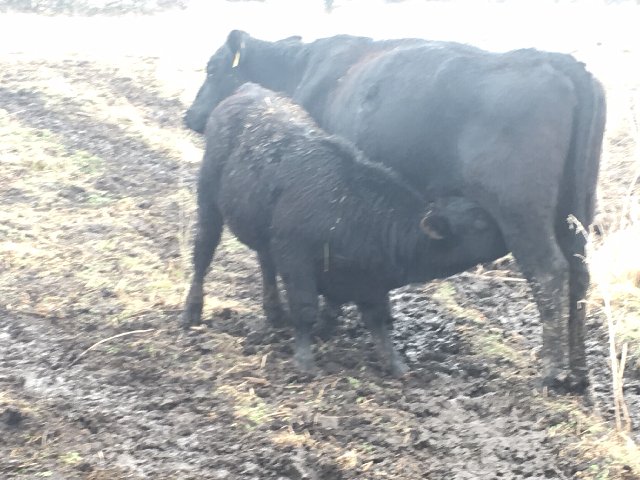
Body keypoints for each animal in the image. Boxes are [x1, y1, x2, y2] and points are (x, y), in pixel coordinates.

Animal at [183, 83, 507, 375]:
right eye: (480, 223)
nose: (508, 236)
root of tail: (250, 89)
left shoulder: (371, 284)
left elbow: (379, 321)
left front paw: (395, 364)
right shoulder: (296, 257)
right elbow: (306, 309)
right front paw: (305, 361)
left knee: (265, 262)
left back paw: (274, 312)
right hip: (208, 200)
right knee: (203, 252)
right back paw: (192, 311)